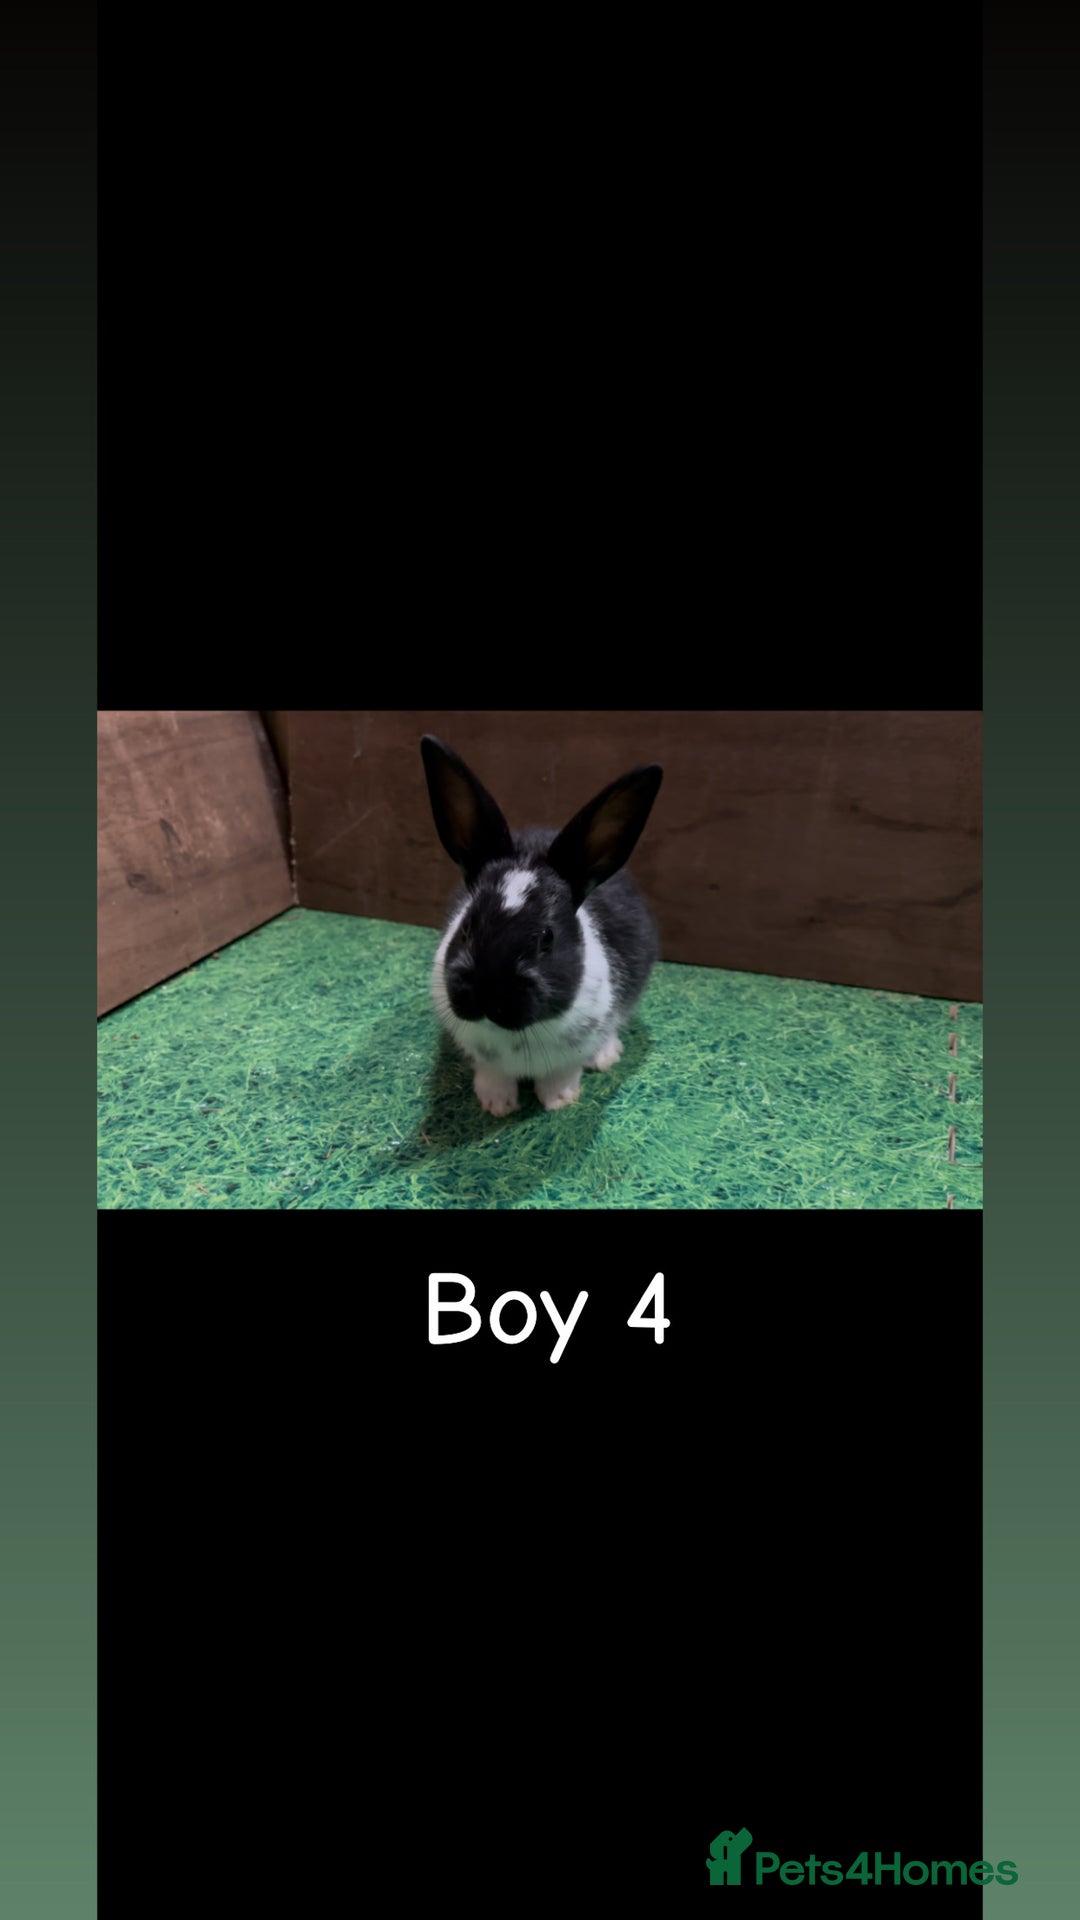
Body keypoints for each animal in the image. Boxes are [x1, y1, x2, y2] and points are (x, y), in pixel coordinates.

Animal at [421, 735, 663, 1114]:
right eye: (467, 927)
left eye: (546, 939)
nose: (487, 994)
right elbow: (492, 1074)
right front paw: (497, 1105)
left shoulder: (575, 1050)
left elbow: (563, 1074)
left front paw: (559, 1101)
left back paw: (606, 1056)